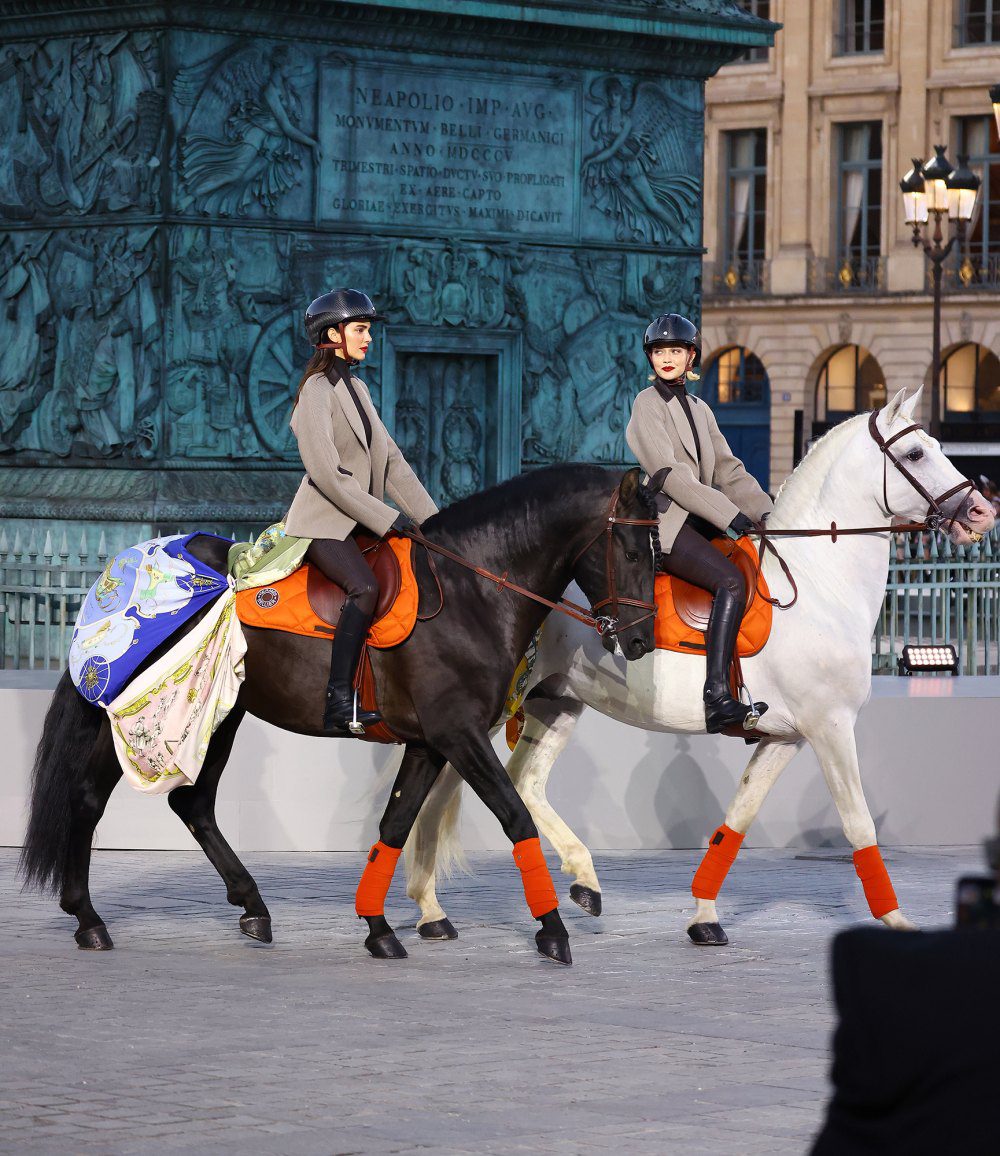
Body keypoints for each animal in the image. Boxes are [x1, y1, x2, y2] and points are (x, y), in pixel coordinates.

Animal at [19, 464, 661, 961]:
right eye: (632, 551)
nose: (639, 640)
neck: (470, 593)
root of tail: (122, 573)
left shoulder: (430, 741)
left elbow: (394, 827)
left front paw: (379, 928)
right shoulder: (459, 733)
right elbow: (515, 817)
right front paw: (552, 930)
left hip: (224, 713)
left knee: (193, 804)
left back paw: (252, 906)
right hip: (137, 710)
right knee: (88, 798)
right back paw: (88, 918)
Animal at [402, 386, 994, 938]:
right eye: (915, 453)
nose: (982, 511)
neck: (816, 584)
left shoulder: (786, 737)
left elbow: (736, 821)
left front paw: (704, 916)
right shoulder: (830, 727)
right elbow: (859, 825)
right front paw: (896, 919)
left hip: (558, 700)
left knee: (523, 782)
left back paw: (579, 880)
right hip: (487, 710)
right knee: (444, 788)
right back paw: (431, 906)